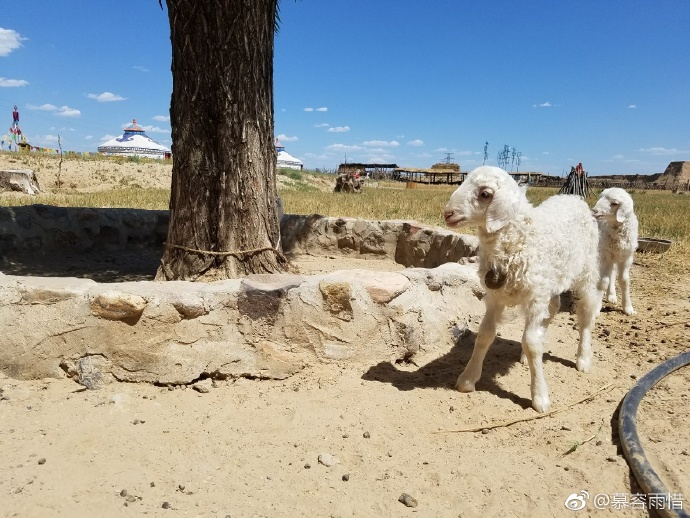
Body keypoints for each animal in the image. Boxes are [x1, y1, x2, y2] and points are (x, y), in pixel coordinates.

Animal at [444, 167, 600, 414]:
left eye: (485, 194)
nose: (448, 214)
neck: (519, 241)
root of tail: (575, 198)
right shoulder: (496, 297)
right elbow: (485, 334)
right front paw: (468, 379)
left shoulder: (535, 298)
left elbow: (531, 344)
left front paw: (540, 397)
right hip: (549, 280)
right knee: (553, 307)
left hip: (585, 269)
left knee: (586, 310)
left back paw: (583, 359)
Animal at [588, 188, 636, 316]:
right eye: (600, 198)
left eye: (614, 203)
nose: (594, 211)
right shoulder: (605, 255)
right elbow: (603, 281)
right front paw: (596, 308)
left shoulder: (626, 257)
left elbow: (624, 281)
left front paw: (628, 308)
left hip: (615, 255)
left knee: (613, 273)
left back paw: (611, 296)